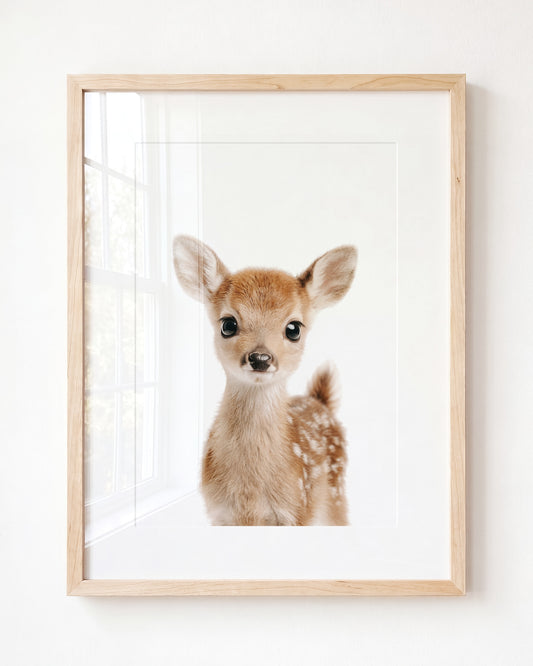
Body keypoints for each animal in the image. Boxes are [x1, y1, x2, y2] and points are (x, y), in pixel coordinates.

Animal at [172, 235, 357, 526]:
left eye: (294, 328)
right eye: (228, 324)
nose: (260, 357)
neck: (250, 495)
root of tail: (320, 401)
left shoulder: (297, 510)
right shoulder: (219, 513)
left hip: (335, 494)